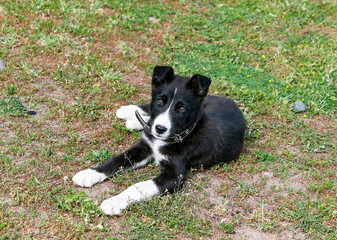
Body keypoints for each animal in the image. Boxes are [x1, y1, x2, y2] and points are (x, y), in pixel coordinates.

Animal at [73, 66, 244, 216]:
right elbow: (116, 160)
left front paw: (115, 202)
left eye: (182, 108)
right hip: (206, 103)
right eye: (160, 101)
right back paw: (129, 113)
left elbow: (138, 186)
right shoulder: (144, 148)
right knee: (148, 111)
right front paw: (89, 174)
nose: (160, 128)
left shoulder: (174, 177)